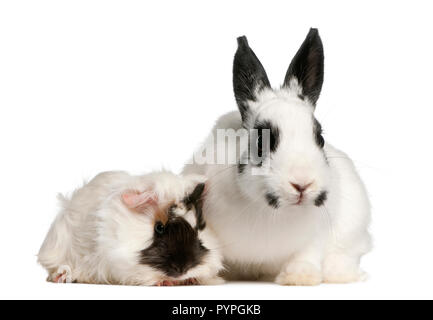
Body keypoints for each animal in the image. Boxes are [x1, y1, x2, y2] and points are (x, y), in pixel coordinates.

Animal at [182, 28, 372, 286]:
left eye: (320, 138)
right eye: (261, 142)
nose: (302, 183)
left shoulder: (317, 234)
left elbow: (307, 253)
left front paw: (300, 277)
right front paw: (206, 277)